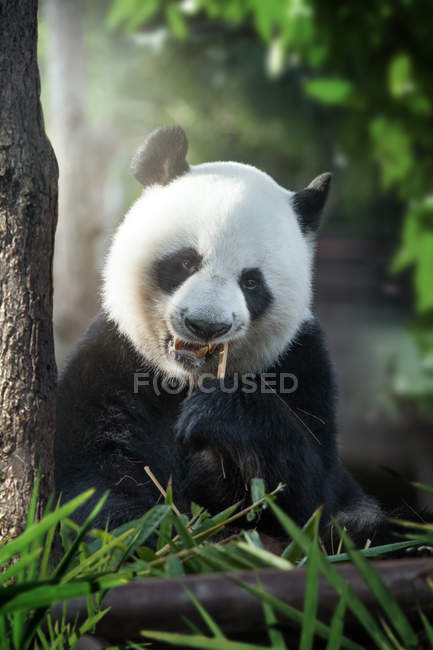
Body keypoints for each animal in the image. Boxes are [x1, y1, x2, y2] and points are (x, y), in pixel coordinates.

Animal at [54, 124, 384, 544]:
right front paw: (153, 534)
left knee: (363, 523)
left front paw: (217, 417)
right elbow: (90, 477)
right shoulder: (113, 359)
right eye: (185, 262)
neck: (183, 379)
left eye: (251, 282)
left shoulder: (302, 361)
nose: (206, 324)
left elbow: (307, 498)